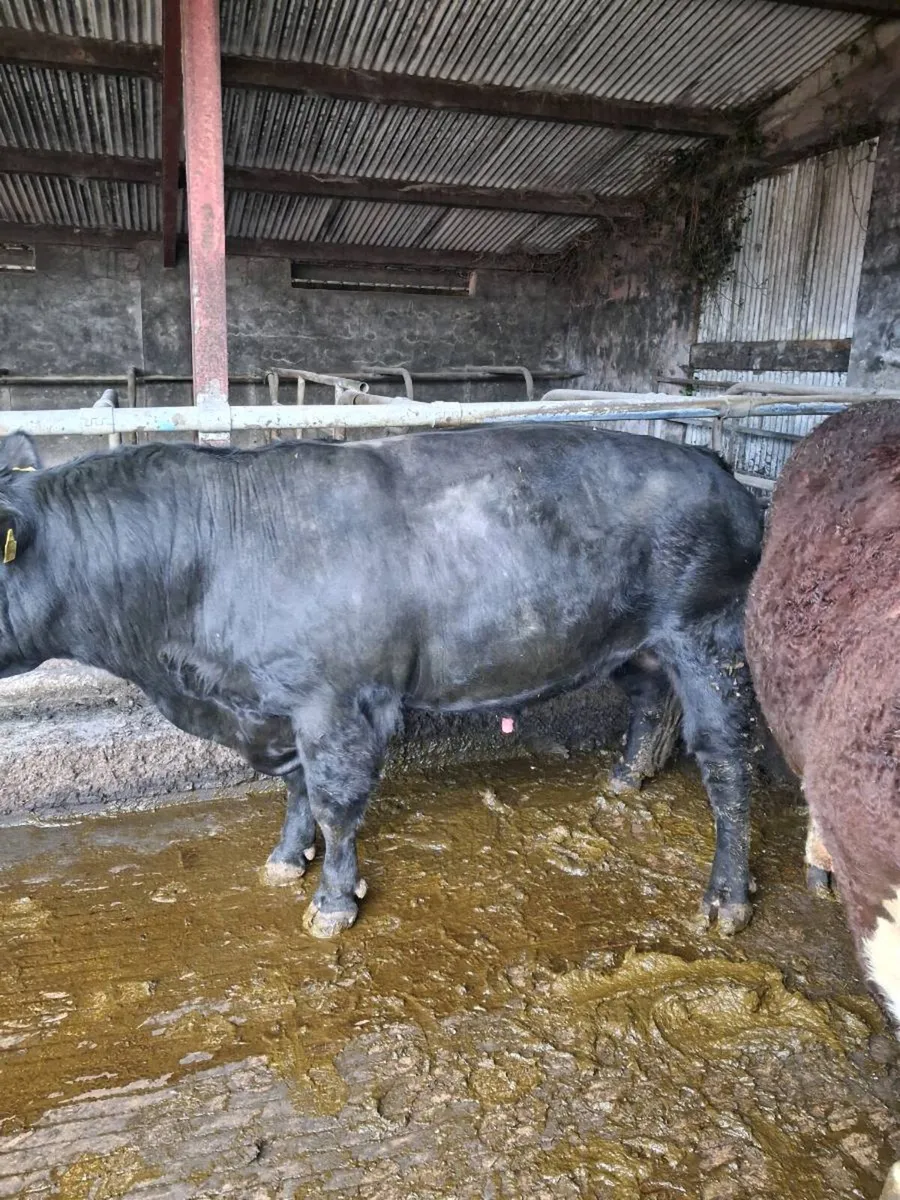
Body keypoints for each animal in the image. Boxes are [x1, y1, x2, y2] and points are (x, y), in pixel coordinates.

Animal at [0, 422, 762, 939]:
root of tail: (716, 464)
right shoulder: (276, 707)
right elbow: (295, 788)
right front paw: (285, 860)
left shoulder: (334, 704)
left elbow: (335, 804)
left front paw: (333, 903)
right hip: (631, 643)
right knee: (650, 700)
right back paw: (627, 778)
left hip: (709, 635)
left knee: (727, 759)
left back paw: (727, 897)